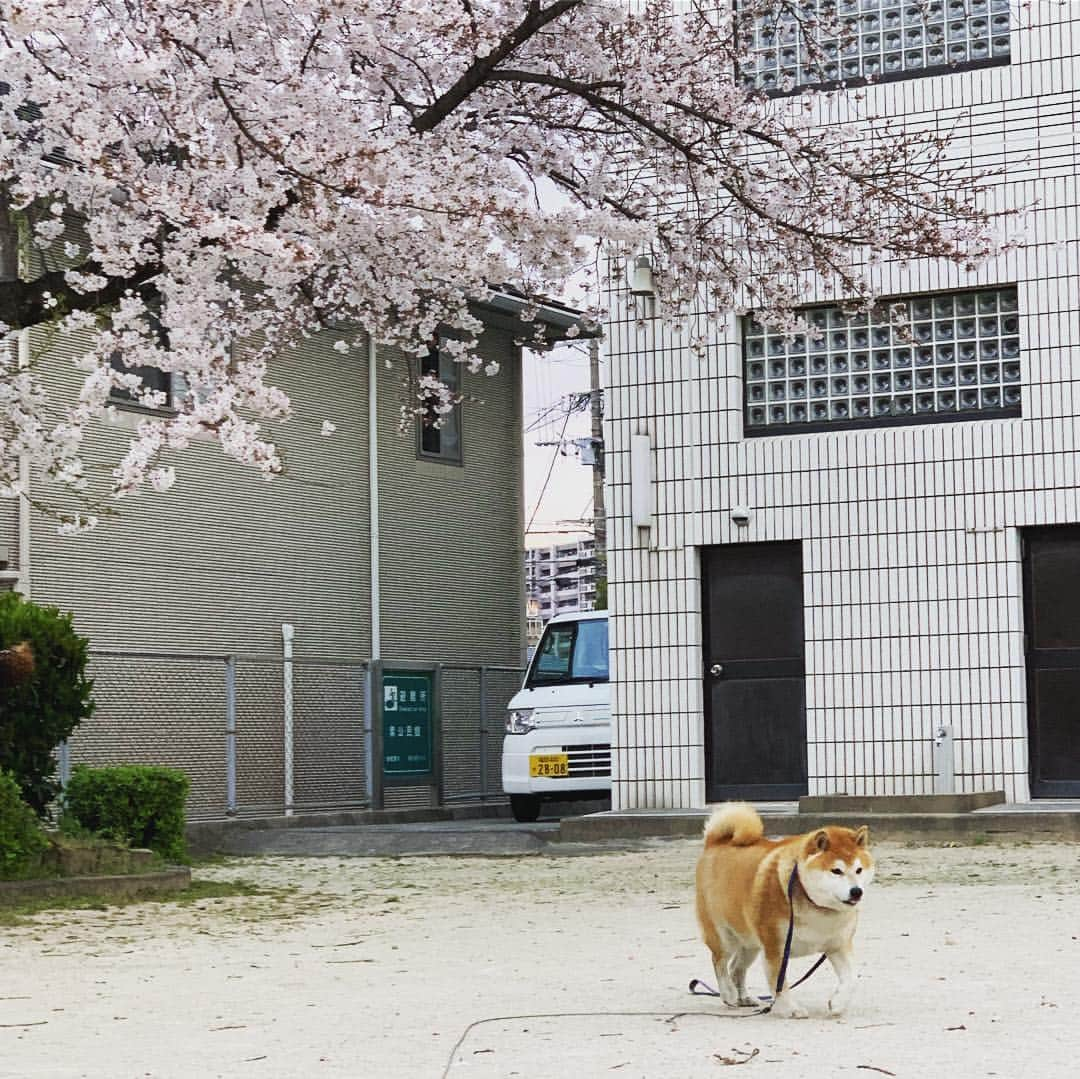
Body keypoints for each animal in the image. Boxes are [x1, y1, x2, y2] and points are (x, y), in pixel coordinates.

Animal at [695, 803, 872, 1019]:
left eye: (859, 870)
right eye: (836, 871)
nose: (856, 891)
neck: (818, 908)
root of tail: (715, 842)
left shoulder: (838, 945)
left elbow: (852, 978)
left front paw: (837, 1003)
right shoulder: (776, 948)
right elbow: (780, 985)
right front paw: (791, 1009)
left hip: (750, 944)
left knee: (736, 968)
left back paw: (744, 998)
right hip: (724, 937)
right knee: (719, 962)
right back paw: (728, 994)